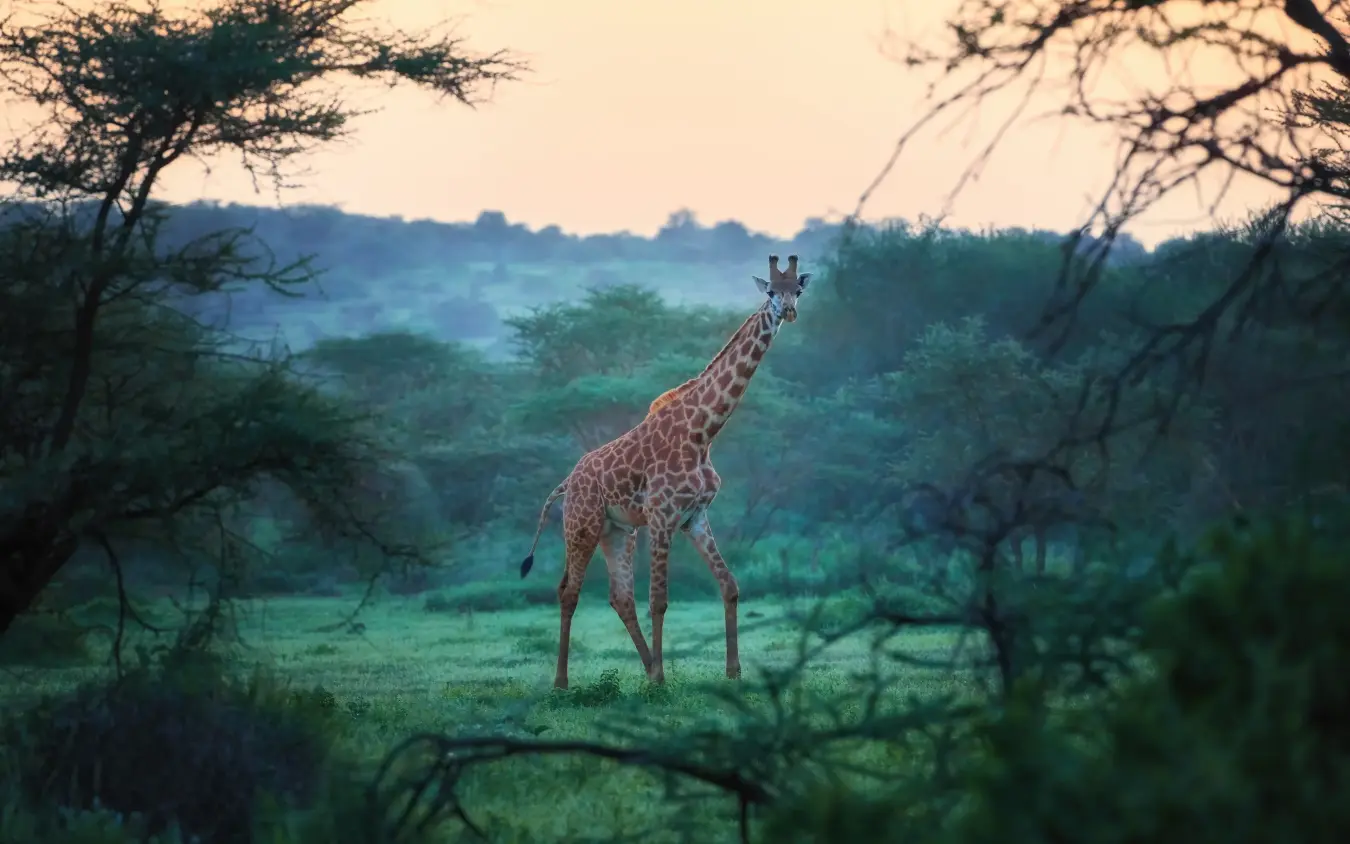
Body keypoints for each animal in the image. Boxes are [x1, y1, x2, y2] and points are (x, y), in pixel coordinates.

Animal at [518, 254, 812, 688]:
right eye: (772, 291)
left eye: (799, 290)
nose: (788, 312)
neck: (702, 433)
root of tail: (567, 482)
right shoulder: (661, 516)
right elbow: (659, 600)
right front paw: (662, 677)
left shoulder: (695, 517)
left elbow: (729, 585)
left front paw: (732, 671)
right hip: (581, 525)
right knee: (568, 591)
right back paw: (563, 682)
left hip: (616, 531)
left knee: (619, 596)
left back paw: (643, 668)